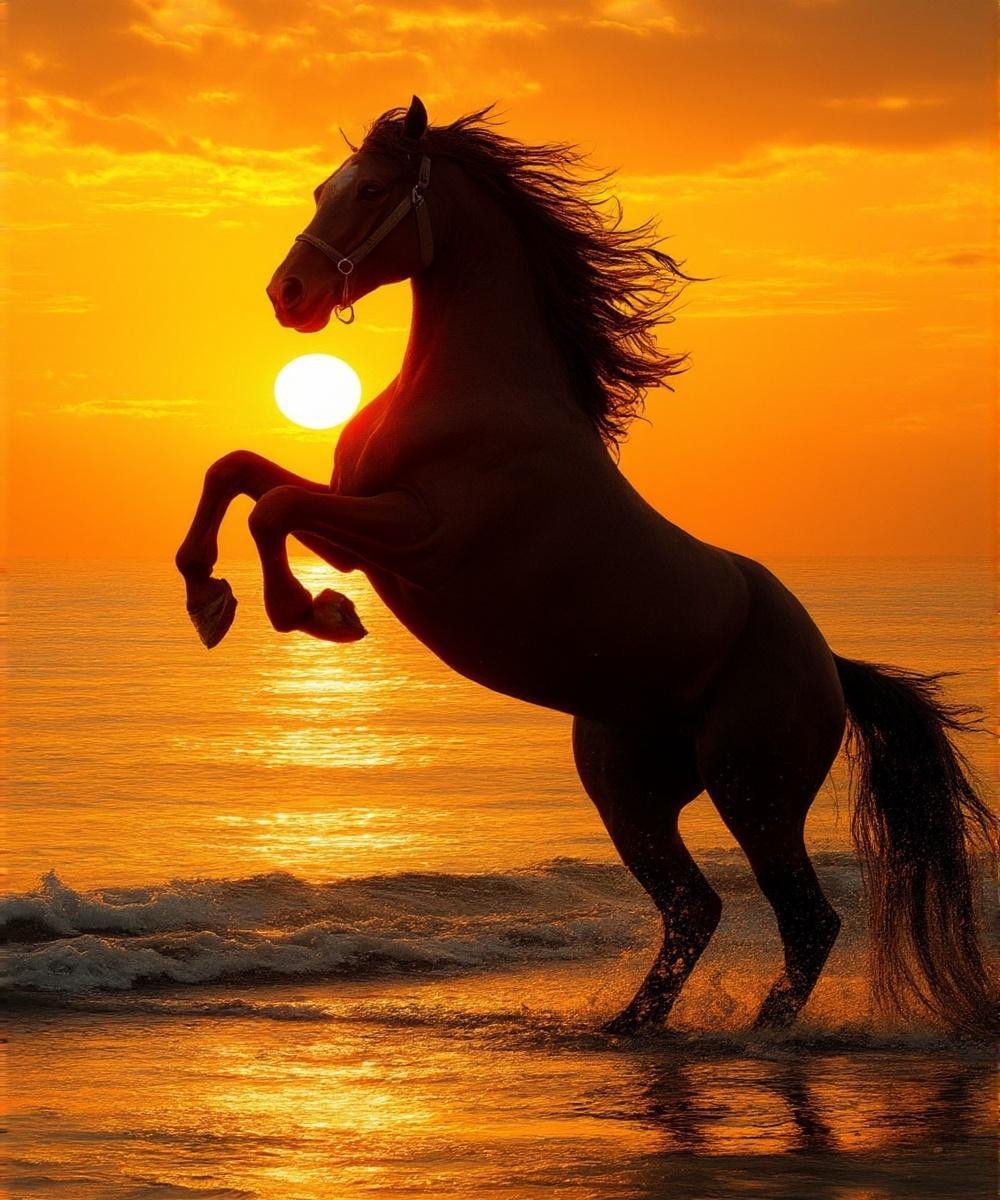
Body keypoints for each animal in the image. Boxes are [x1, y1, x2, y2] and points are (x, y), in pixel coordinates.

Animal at [176, 96, 995, 1037]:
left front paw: (314, 613)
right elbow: (238, 473)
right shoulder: (356, 527)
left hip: (753, 788)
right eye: (324, 188)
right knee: (694, 909)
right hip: (628, 789)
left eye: (374, 189)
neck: (478, 394)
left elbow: (271, 505)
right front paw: (209, 595)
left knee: (805, 920)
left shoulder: (421, 540)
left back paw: (759, 1036)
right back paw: (629, 1028)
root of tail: (830, 663)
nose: (289, 294)